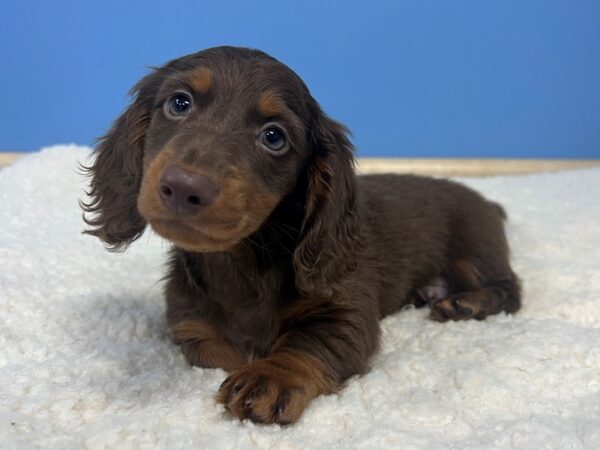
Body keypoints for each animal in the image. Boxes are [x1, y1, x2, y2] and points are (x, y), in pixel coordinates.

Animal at [82, 45, 524, 426]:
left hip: (473, 253)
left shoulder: (346, 314)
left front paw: (268, 377)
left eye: (274, 137)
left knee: (510, 290)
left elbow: (304, 344)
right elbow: (217, 350)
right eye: (179, 103)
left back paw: (464, 303)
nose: (183, 187)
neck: (241, 261)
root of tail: (488, 202)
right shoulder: (191, 328)